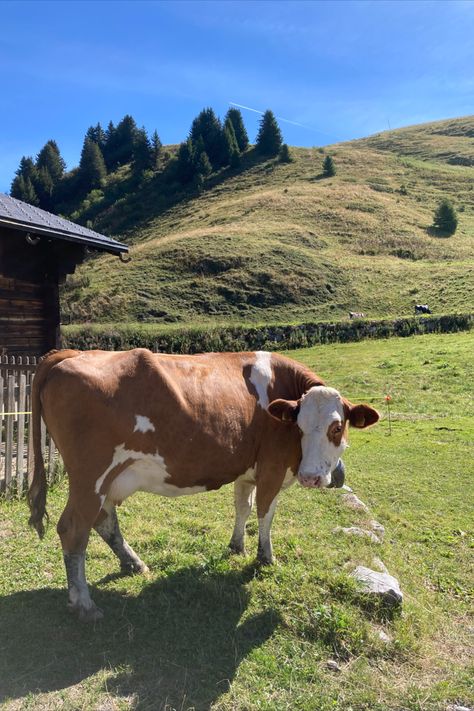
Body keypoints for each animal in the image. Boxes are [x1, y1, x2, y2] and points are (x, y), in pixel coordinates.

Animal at [27, 350, 380, 624]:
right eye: (300, 426)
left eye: (337, 427)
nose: (310, 477)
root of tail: (68, 354)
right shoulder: (273, 469)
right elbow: (265, 514)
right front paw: (265, 557)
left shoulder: (247, 471)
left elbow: (243, 507)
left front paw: (236, 546)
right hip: (91, 476)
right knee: (74, 528)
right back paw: (84, 604)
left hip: (108, 478)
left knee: (104, 520)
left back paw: (133, 563)